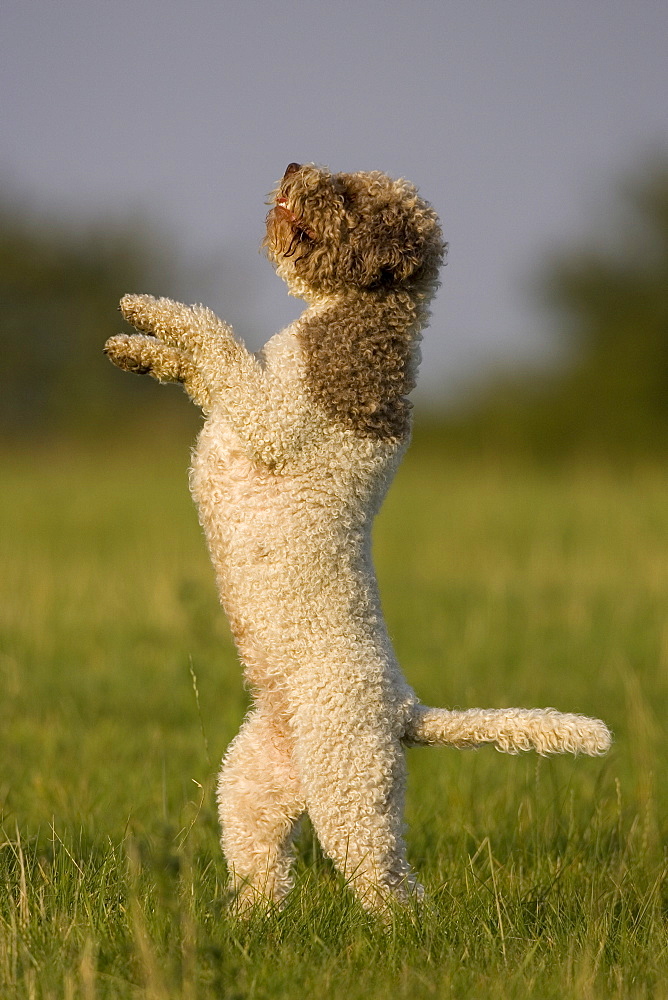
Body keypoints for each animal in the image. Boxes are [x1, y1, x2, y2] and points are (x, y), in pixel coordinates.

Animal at [104, 162, 612, 916]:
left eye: (346, 194)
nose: (293, 166)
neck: (362, 322)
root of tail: (406, 710)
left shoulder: (275, 422)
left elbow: (219, 346)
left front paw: (153, 312)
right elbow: (202, 365)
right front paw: (138, 348)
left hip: (350, 786)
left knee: (388, 881)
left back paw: (409, 932)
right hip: (254, 781)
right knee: (262, 861)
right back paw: (249, 923)